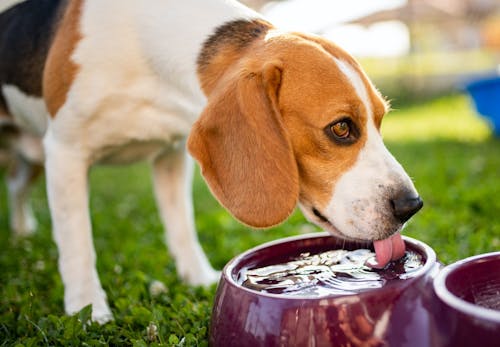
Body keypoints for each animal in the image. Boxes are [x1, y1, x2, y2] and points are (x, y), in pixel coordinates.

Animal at [0, 0, 422, 324]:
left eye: (380, 121)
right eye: (341, 128)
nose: (411, 205)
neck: (148, 55)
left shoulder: (170, 154)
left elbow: (181, 225)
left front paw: (198, 278)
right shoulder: (66, 150)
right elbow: (77, 242)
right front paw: (88, 310)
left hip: (31, 156)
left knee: (17, 187)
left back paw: (22, 231)